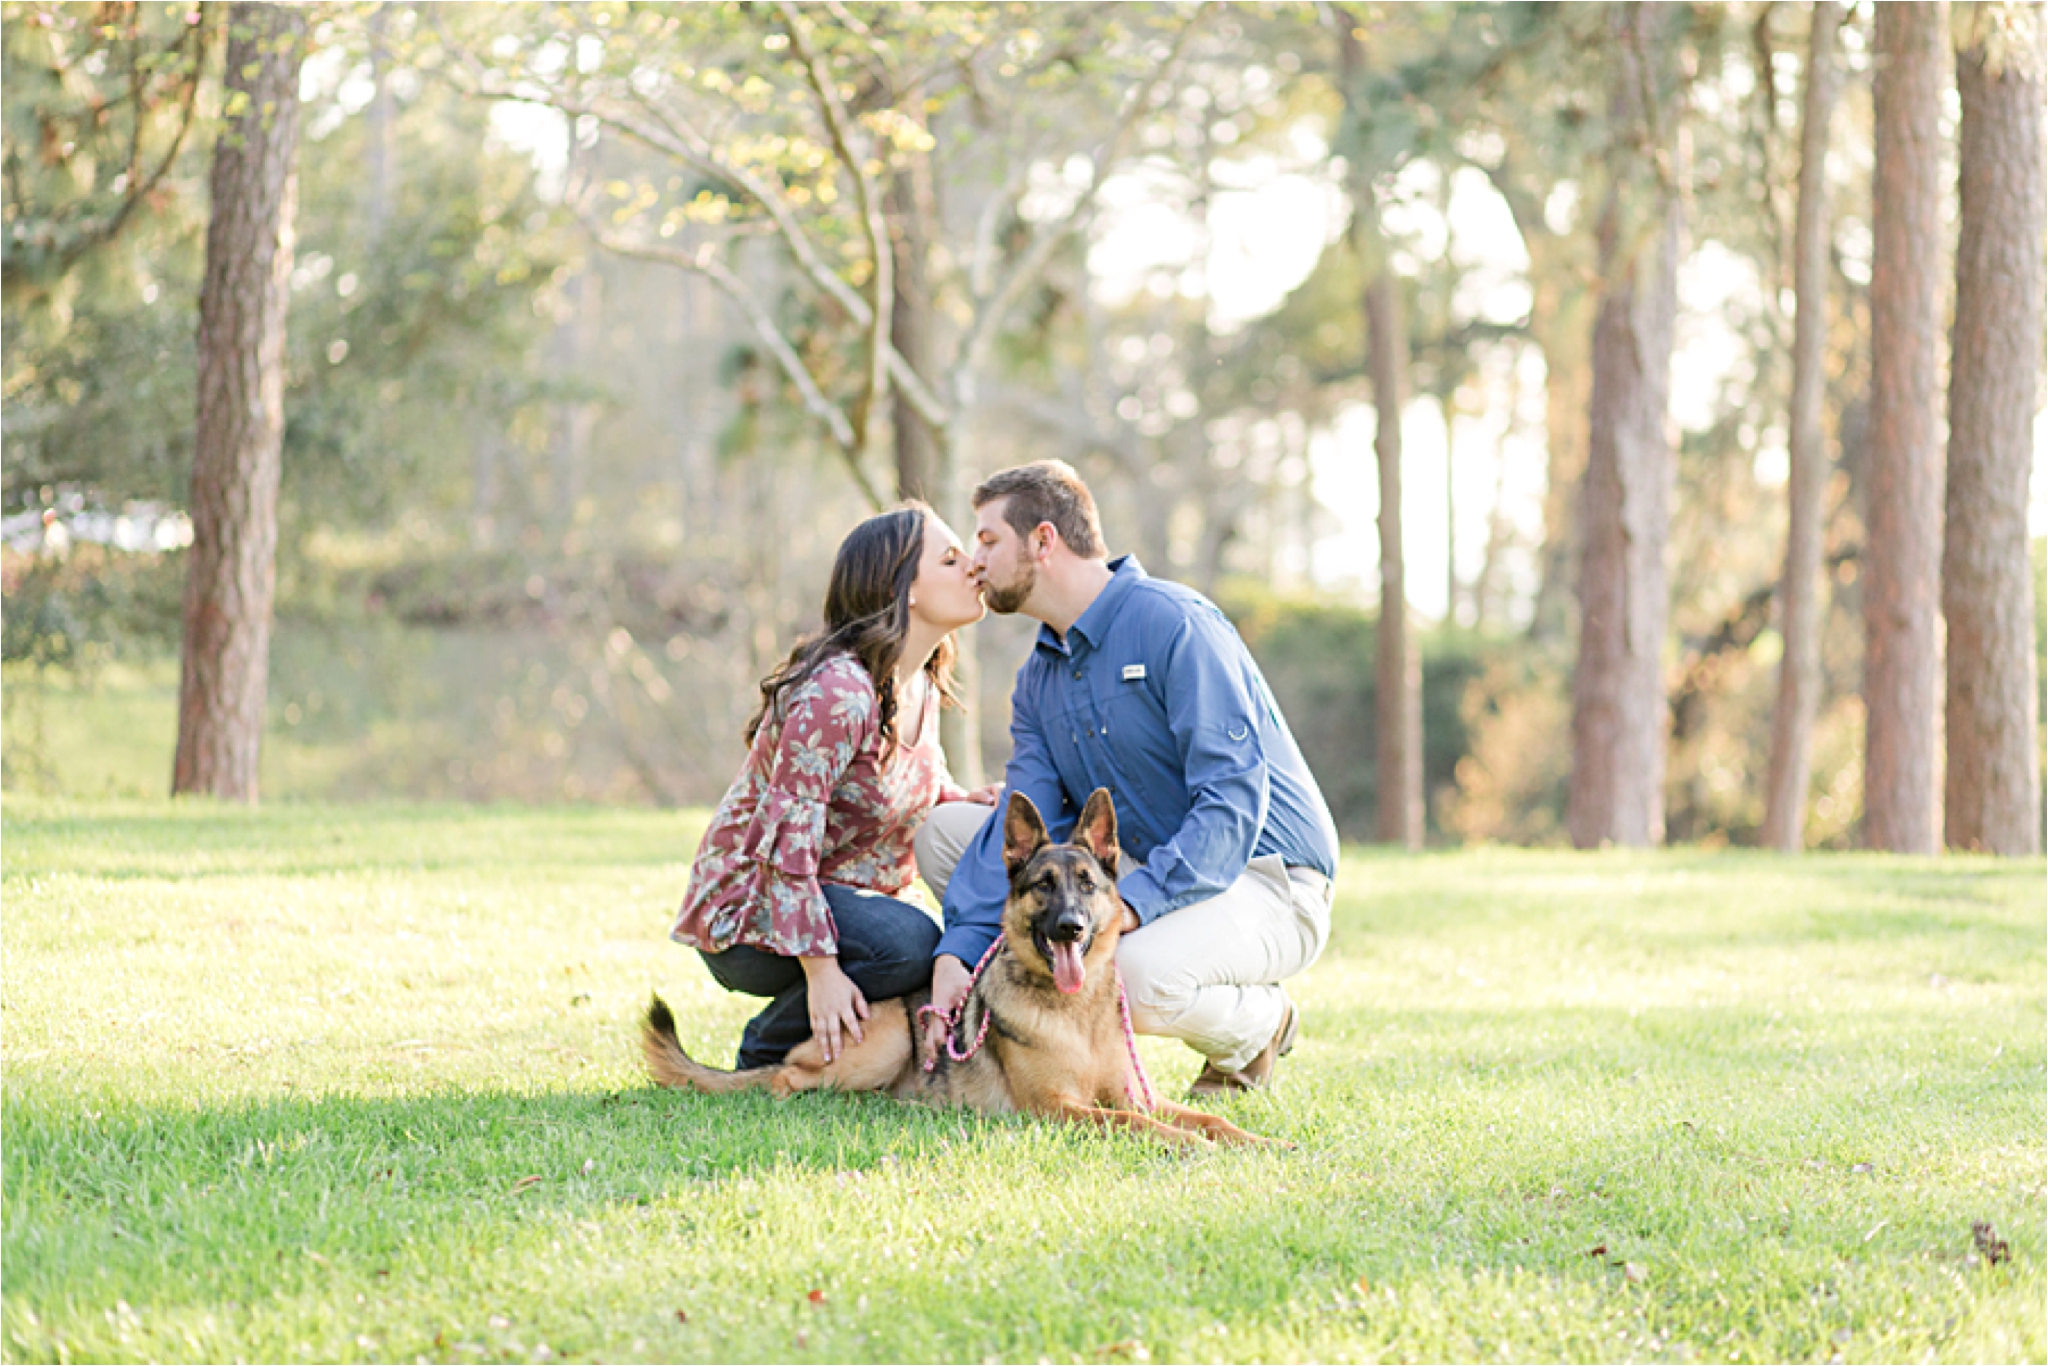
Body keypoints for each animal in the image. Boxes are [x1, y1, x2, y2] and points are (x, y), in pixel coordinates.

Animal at [643, 786, 1277, 1146]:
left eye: (1087, 884)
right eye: (1043, 887)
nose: (1070, 927)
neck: (1074, 1013)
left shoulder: (1132, 1095)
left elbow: (1211, 1122)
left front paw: (1259, 1142)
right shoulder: (1064, 1110)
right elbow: (1145, 1126)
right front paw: (1191, 1147)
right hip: (890, 1041)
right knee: (782, 1078)